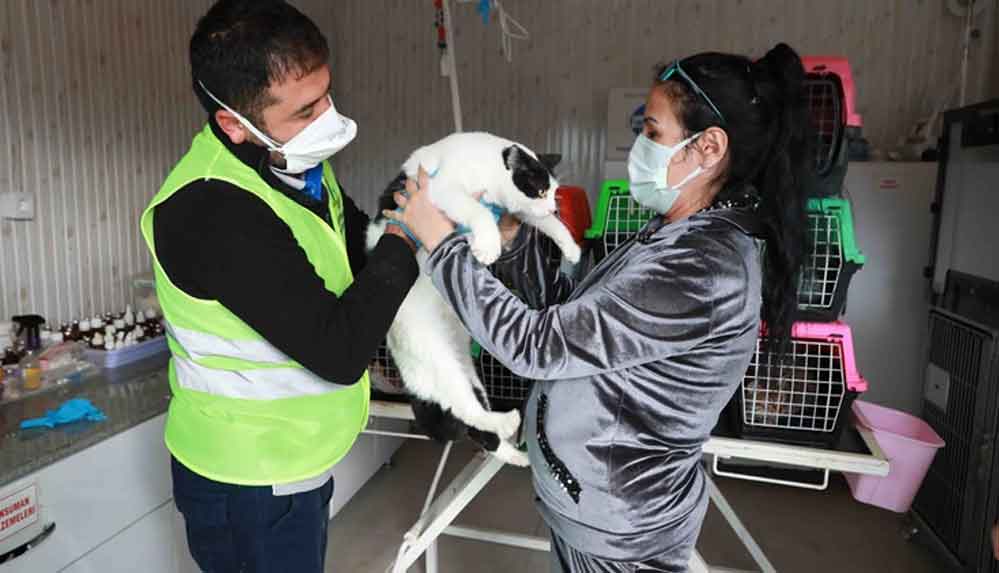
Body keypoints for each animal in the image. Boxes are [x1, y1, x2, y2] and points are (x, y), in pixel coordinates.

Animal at [372, 131, 584, 464]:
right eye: (539, 190)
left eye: (553, 193)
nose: (552, 206)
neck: (486, 165)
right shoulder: (441, 191)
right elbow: (478, 210)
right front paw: (487, 245)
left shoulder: (517, 211)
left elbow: (547, 225)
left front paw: (570, 247)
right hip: (439, 362)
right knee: (466, 411)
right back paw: (507, 422)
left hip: (470, 376)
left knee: (479, 427)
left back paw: (516, 453)